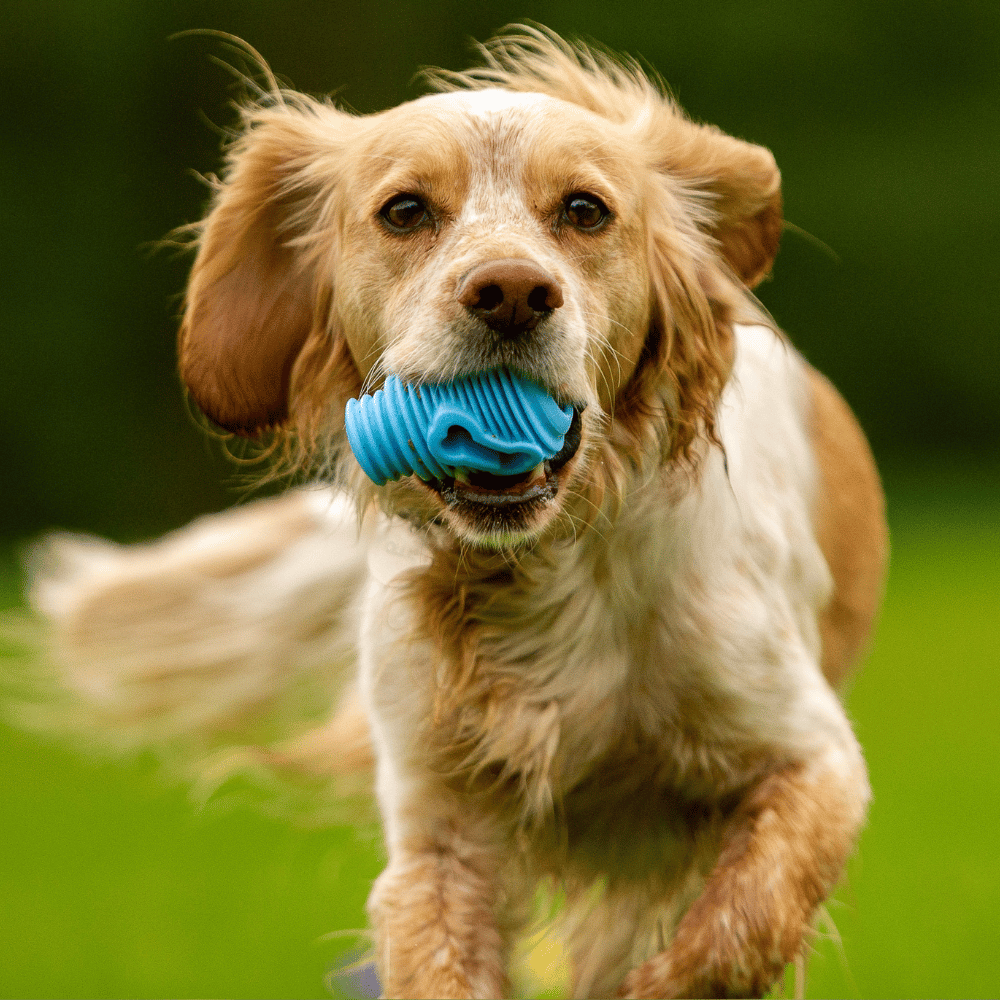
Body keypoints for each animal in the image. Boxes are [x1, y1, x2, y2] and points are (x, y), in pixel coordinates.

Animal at [31, 27, 888, 996]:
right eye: (404, 211)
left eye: (586, 211)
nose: (511, 291)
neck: (539, 578)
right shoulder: (439, 835)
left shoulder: (812, 755)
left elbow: (733, 930)